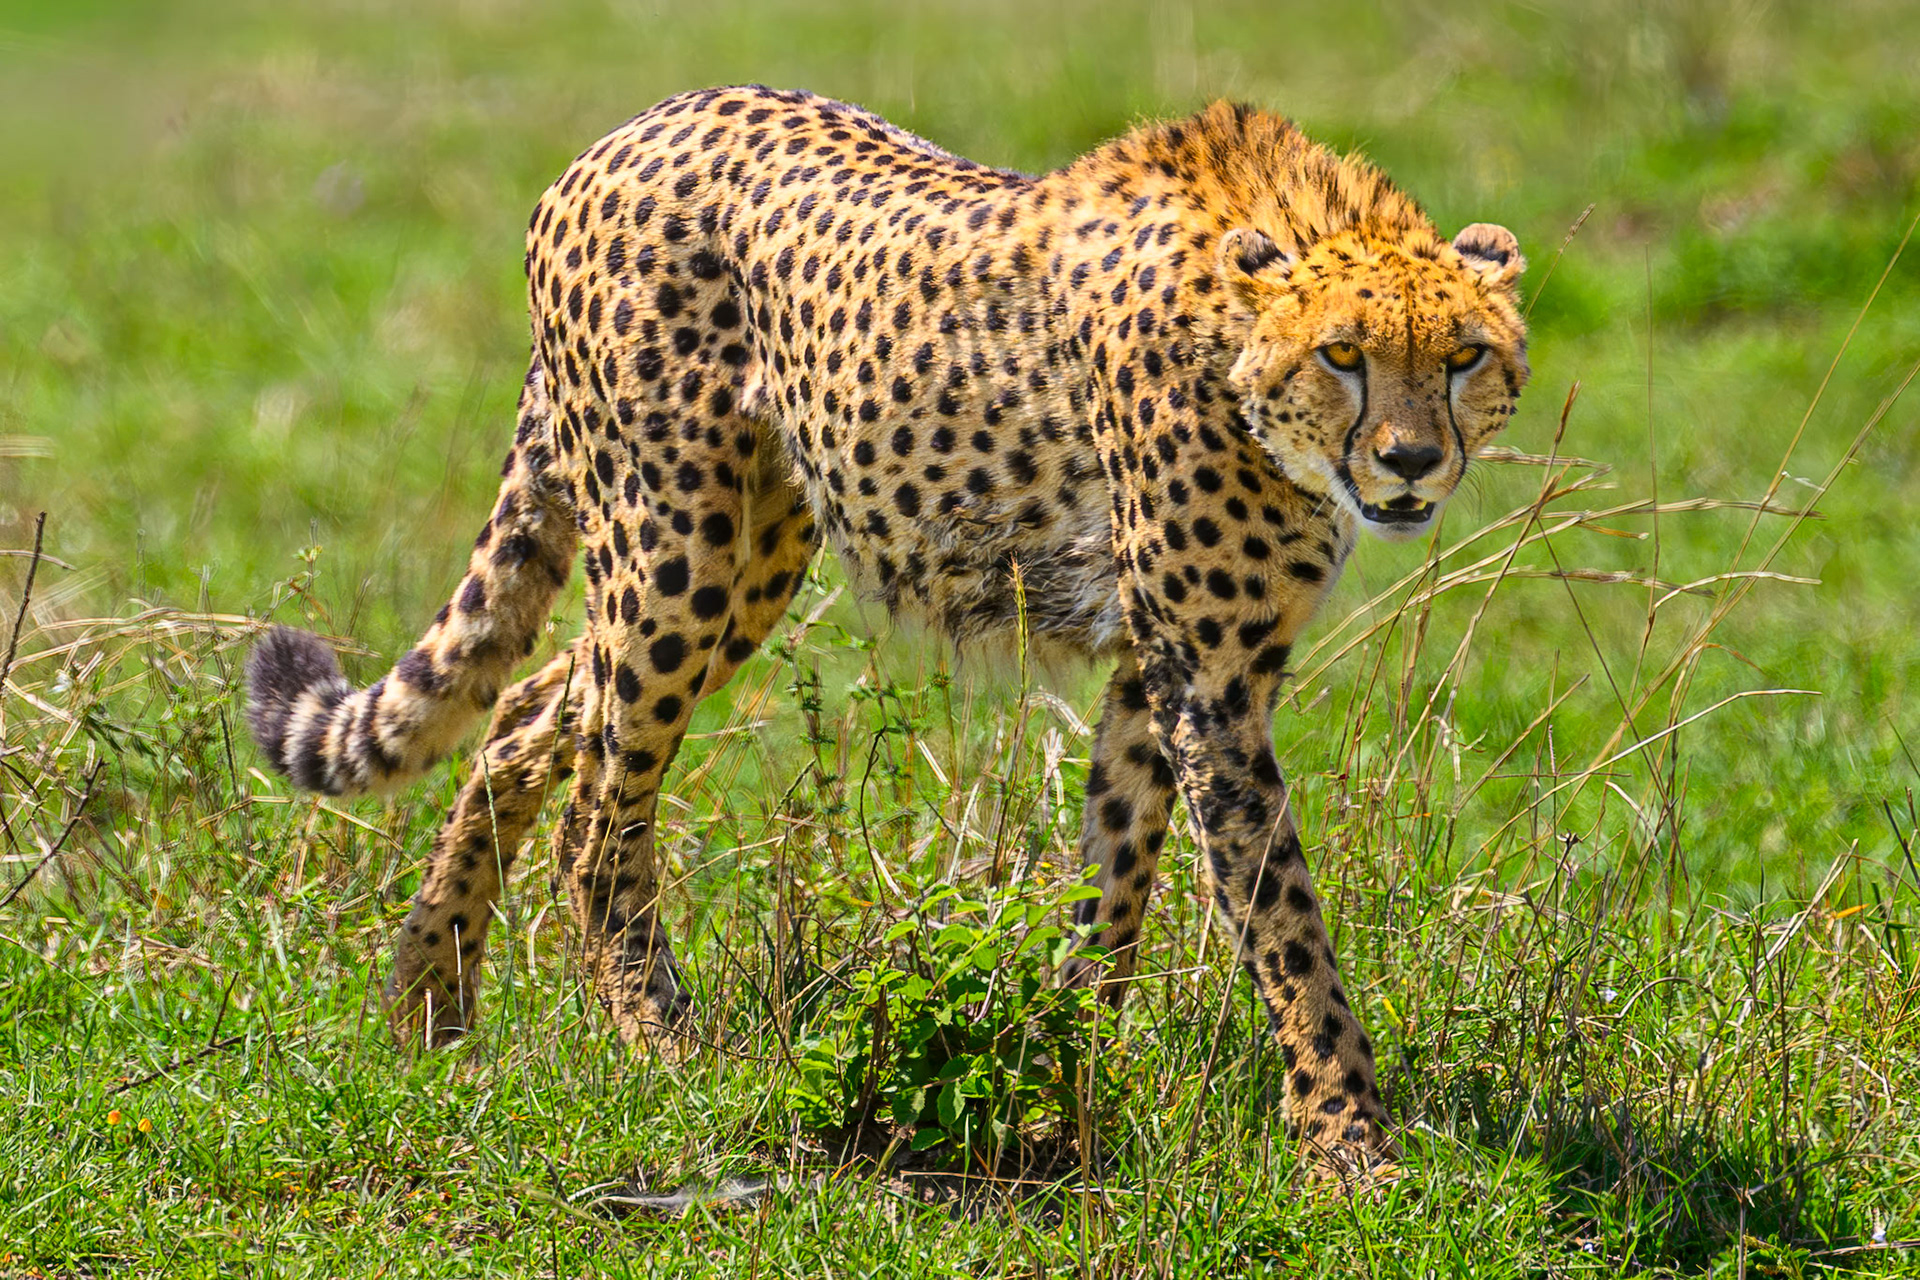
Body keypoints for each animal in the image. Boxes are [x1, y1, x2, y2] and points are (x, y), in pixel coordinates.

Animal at [246, 85, 1528, 1173]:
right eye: (1344, 353)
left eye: (1465, 355)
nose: (1411, 462)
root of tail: (632, 126)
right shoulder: (1208, 677)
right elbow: (1283, 921)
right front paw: (1351, 1149)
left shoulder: (1162, 664)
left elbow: (1116, 877)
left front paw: (1059, 1077)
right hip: (674, 545)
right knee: (596, 809)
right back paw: (665, 1044)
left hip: (755, 551)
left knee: (522, 710)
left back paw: (428, 1000)